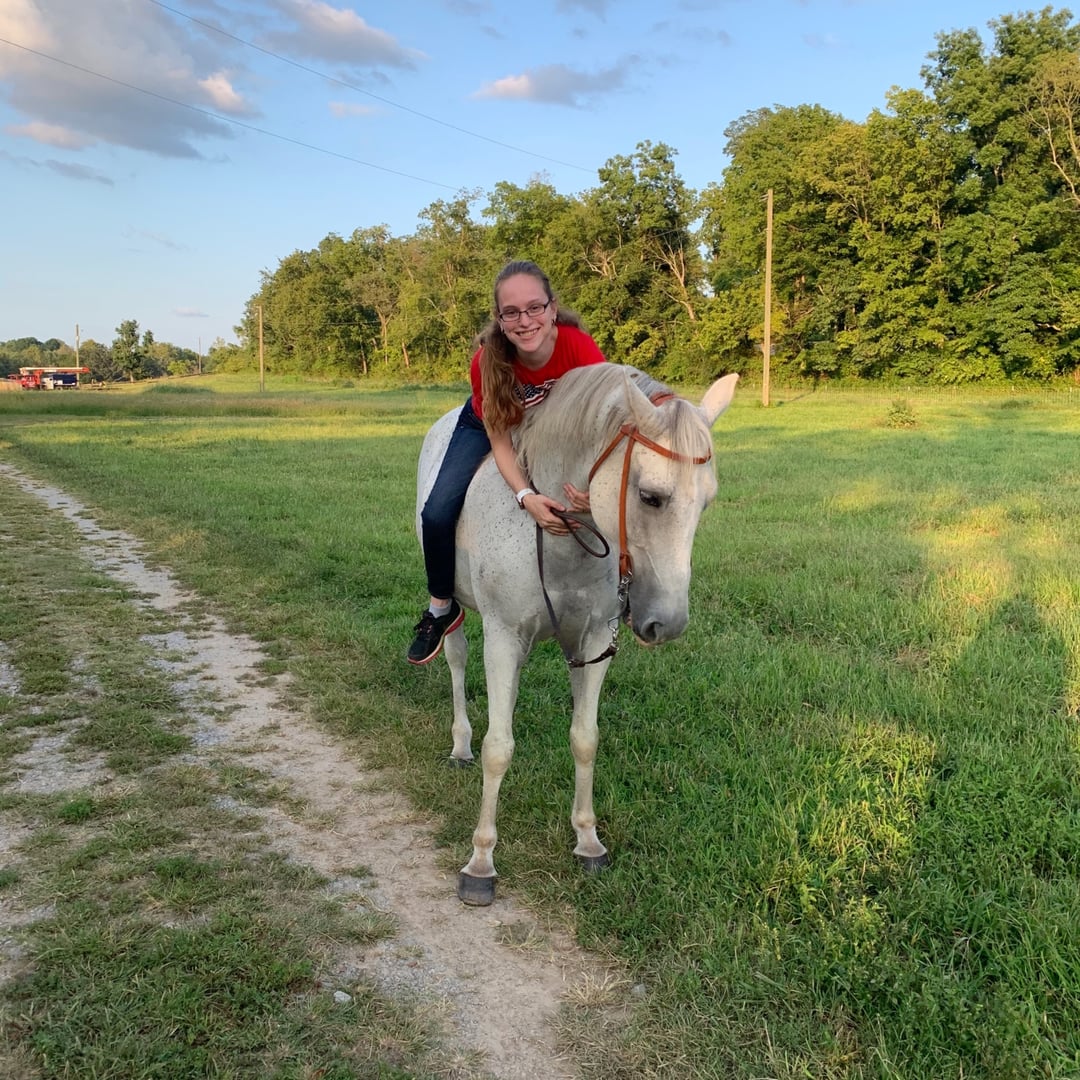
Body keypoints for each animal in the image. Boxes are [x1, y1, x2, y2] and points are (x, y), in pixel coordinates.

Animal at [415, 363, 738, 906]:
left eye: (708, 504)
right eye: (650, 497)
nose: (667, 624)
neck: (560, 538)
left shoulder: (594, 642)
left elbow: (585, 739)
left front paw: (588, 841)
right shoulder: (503, 638)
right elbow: (498, 748)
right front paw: (481, 862)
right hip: (457, 606)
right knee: (456, 658)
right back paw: (459, 744)